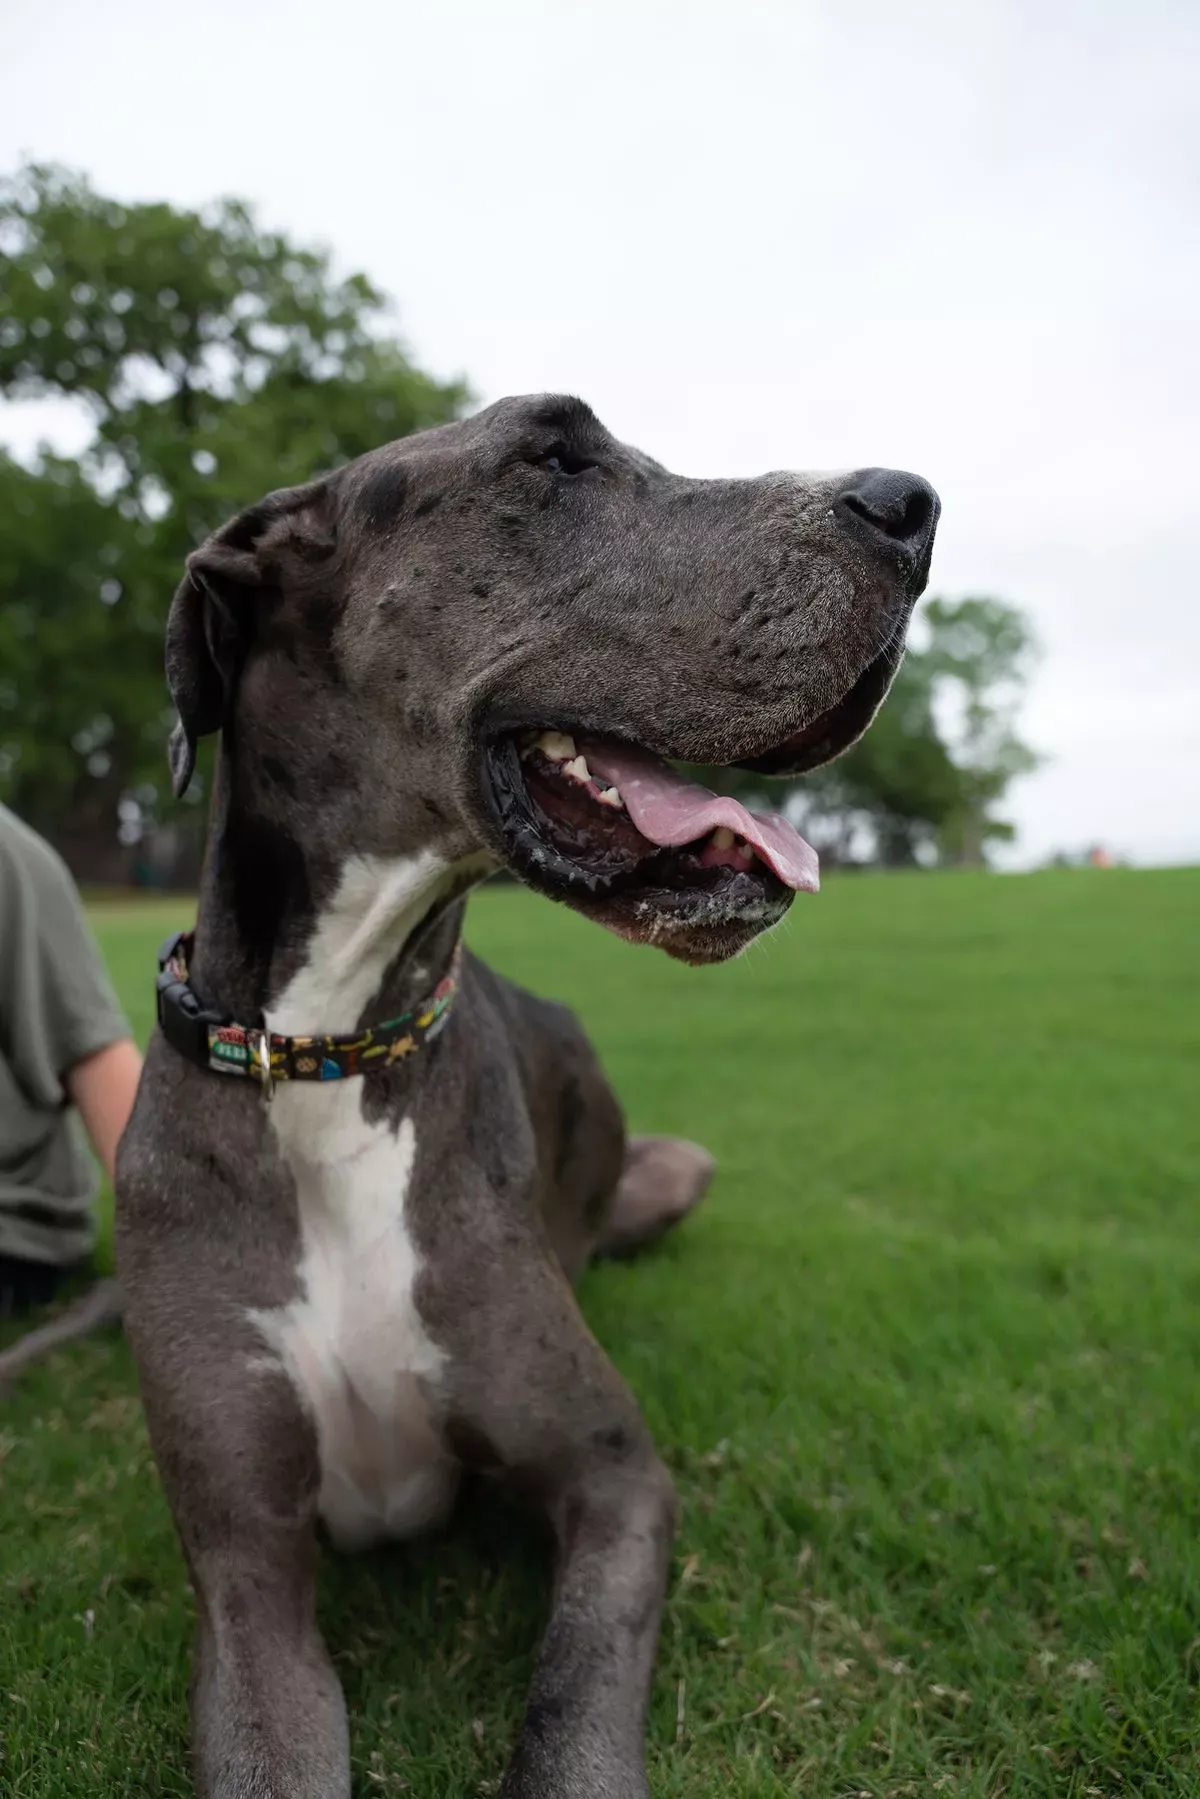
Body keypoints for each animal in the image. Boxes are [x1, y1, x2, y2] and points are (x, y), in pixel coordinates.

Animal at [112, 397, 935, 1799]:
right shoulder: (242, 1567)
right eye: (551, 453)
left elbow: (572, 1710)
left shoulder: (616, 1479)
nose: (913, 503)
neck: (330, 1049)